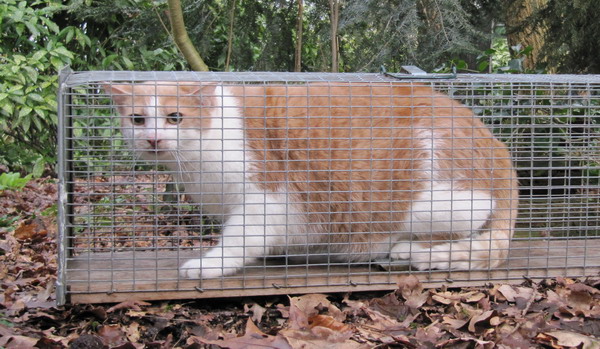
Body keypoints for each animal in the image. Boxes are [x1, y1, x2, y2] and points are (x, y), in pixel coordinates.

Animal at [104, 80, 520, 278]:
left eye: (174, 117)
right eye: (138, 119)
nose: (153, 139)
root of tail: (496, 143)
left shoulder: (264, 201)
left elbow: (236, 242)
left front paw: (209, 265)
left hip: (425, 201)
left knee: (464, 227)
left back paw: (404, 250)